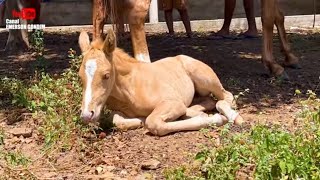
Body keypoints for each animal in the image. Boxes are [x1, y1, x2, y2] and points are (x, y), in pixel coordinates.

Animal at [79, 29, 244, 136]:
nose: (87, 115)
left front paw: (216, 119)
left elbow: (153, 123)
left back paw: (231, 116)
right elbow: (116, 120)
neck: (129, 89)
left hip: (206, 79)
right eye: (80, 76)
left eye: (106, 75)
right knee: (208, 100)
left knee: (225, 97)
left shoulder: (173, 103)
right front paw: (139, 120)